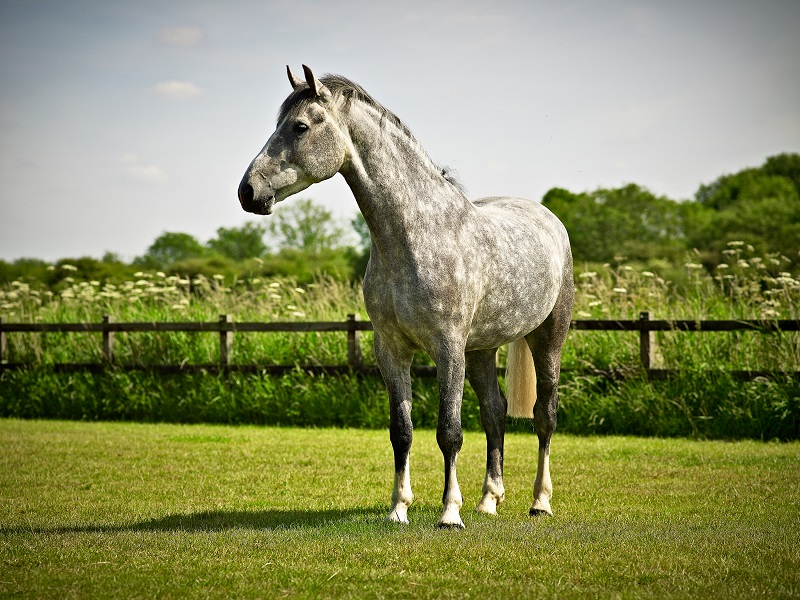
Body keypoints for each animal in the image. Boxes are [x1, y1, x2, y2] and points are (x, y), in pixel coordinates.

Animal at [239, 65, 576, 528]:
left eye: (300, 126)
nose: (248, 192)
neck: (416, 233)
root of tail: (548, 218)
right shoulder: (392, 349)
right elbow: (402, 431)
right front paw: (399, 508)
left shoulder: (448, 347)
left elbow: (449, 432)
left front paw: (449, 513)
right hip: (481, 349)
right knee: (495, 412)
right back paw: (489, 500)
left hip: (548, 338)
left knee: (545, 417)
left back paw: (540, 502)